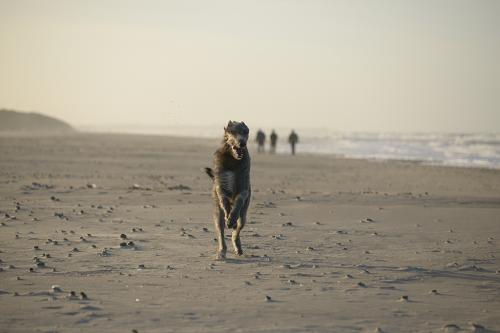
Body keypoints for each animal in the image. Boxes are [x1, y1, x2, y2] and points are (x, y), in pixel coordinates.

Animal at [204, 120, 250, 260]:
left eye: (245, 132)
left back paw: (237, 245)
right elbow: (222, 196)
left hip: (244, 215)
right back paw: (221, 251)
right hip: (217, 213)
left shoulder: (243, 184)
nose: (242, 143)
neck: (232, 159)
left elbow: (240, 198)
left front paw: (232, 216)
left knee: (237, 229)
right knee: (220, 231)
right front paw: (228, 215)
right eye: (233, 131)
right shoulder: (221, 183)